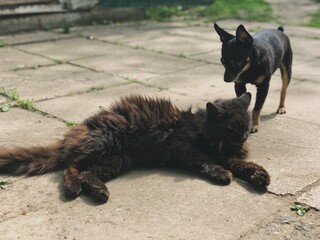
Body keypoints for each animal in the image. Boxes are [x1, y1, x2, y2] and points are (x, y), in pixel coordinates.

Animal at [0, 93, 270, 202]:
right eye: (232, 128)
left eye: (246, 124)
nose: (244, 135)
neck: (202, 128)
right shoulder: (181, 145)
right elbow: (205, 161)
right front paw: (222, 174)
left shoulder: (225, 154)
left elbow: (243, 164)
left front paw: (260, 175)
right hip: (105, 142)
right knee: (71, 168)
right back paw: (74, 189)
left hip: (116, 161)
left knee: (85, 173)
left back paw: (98, 192)